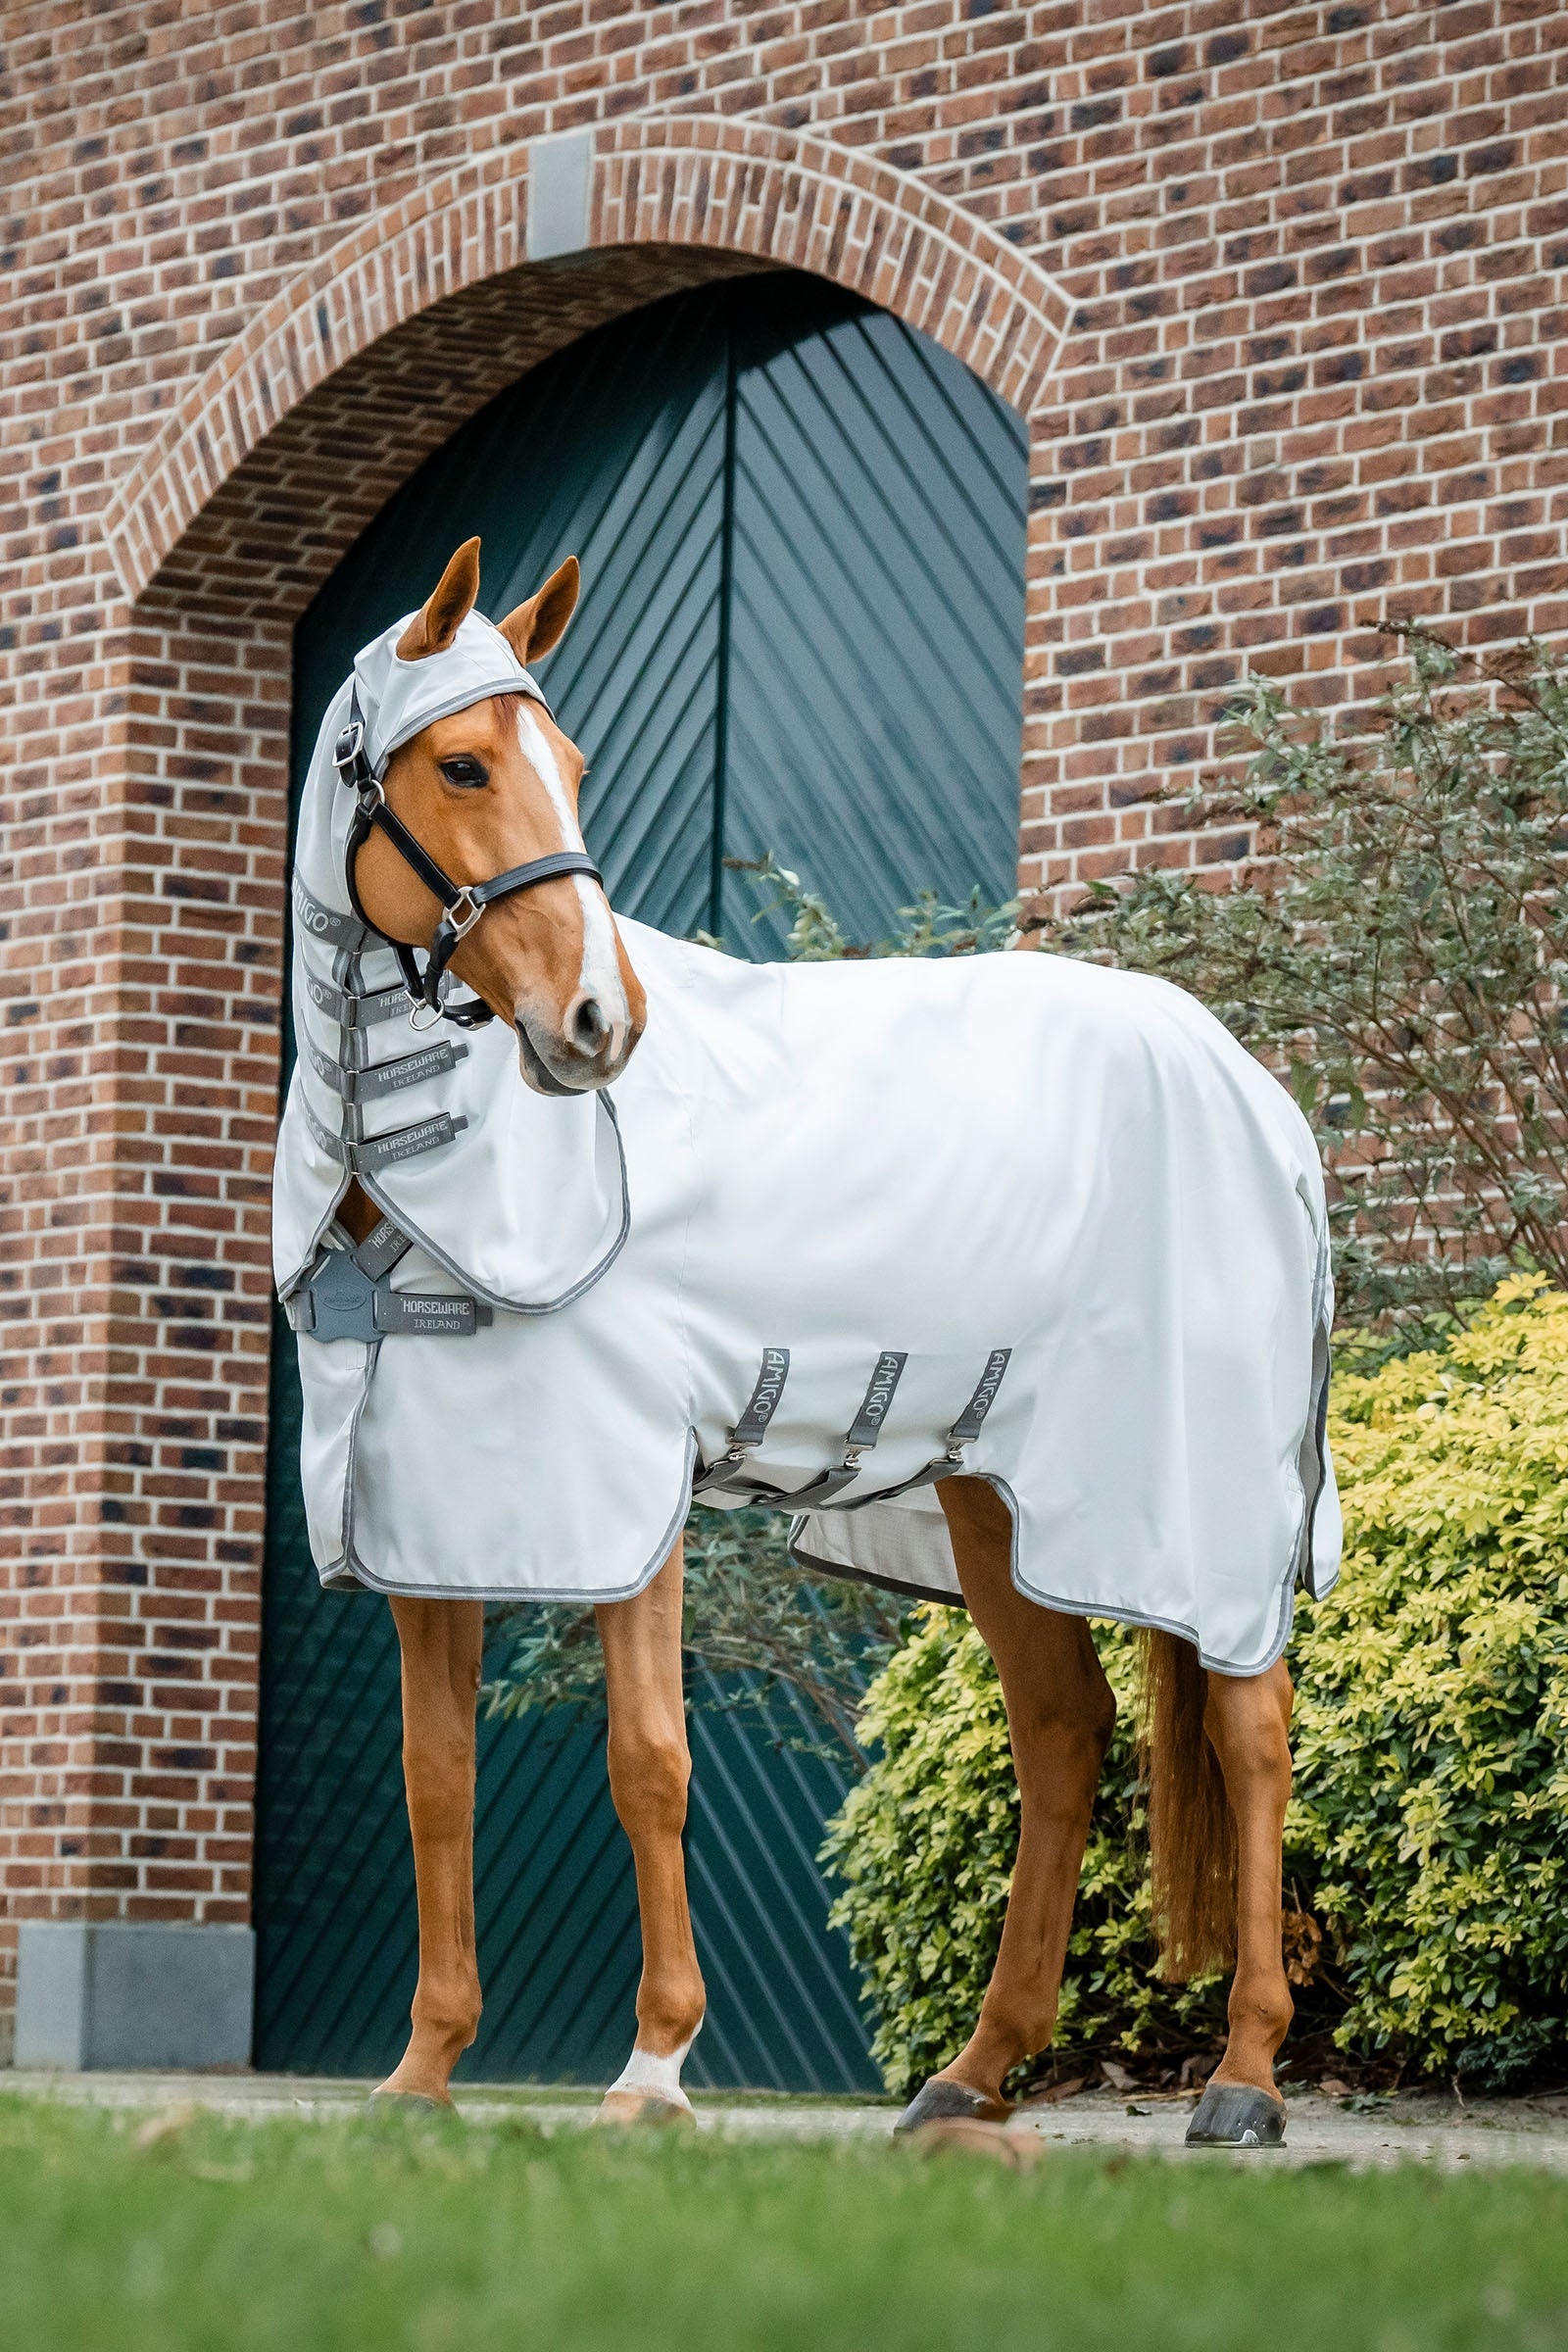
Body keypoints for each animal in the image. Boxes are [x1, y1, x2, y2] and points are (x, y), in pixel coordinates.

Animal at [274, 536, 1339, 2149]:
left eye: (567, 765)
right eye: (461, 763)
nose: (599, 1023)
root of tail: (1255, 1094)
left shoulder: (624, 1492)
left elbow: (649, 1761)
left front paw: (652, 2070)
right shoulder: (431, 1517)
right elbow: (434, 1780)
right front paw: (419, 2077)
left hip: (1197, 1503)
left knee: (1251, 1726)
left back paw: (1246, 2078)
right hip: (987, 1494)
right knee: (1063, 1729)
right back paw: (973, 2072)